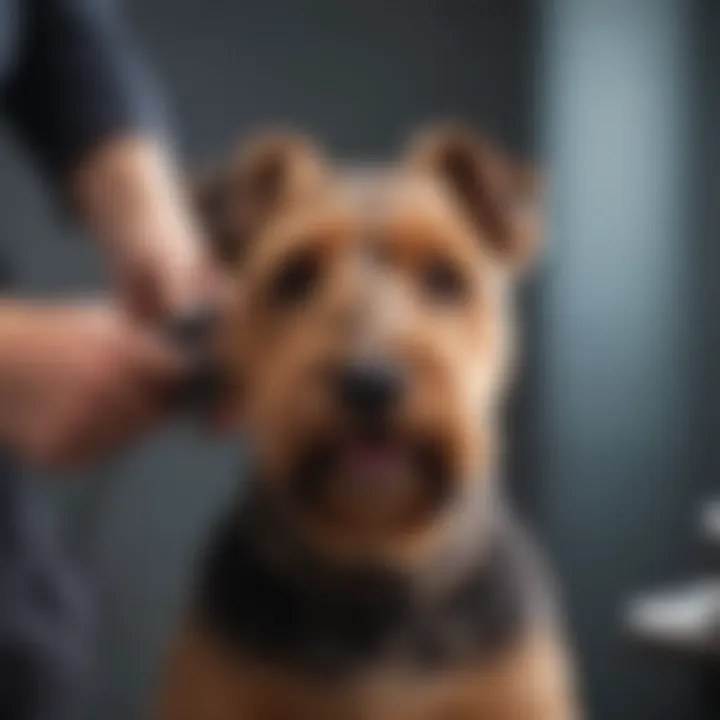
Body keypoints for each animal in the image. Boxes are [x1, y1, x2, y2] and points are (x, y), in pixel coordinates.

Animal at [156, 126, 580, 716]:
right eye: (293, 276)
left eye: (444, 277)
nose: (370, 384)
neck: (377, 560)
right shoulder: (210, 696)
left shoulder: (519, 698)